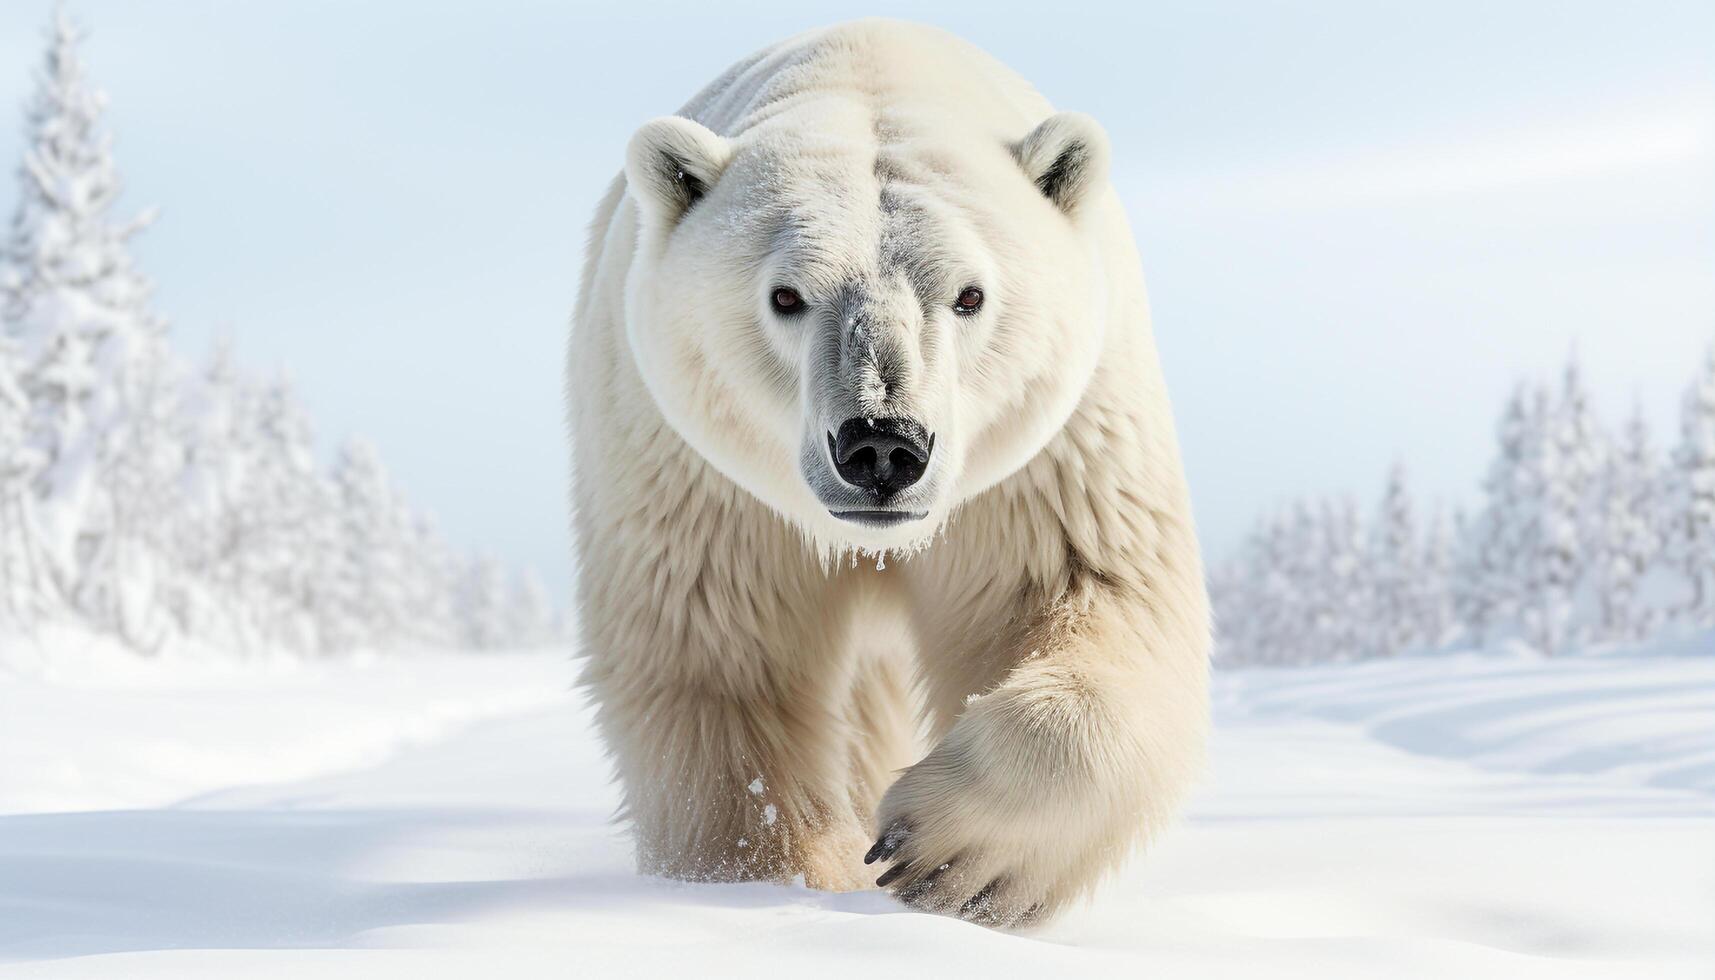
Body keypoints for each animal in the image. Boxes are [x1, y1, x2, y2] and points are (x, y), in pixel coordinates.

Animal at [569, 21, 1214, 926]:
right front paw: (774, 875)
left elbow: (1092, 595)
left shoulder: (1047, 461)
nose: (881, 445)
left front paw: (951, 856)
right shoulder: (705, 483)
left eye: (970, 295)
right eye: (785, 295)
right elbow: (720, 664)